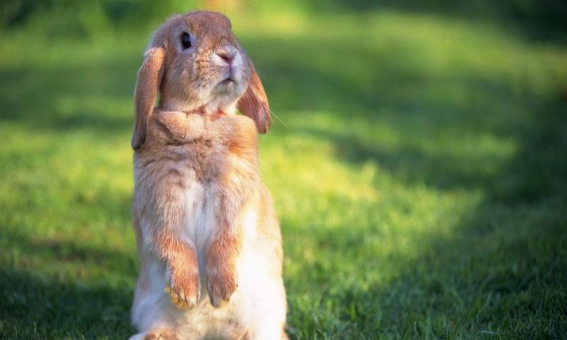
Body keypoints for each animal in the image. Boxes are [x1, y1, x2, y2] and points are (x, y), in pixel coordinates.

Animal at [129, 10, 288, 340]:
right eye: (185, 40)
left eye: (230, 30)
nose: (228, 54)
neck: (202, 119)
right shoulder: (162, 208)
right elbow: (175, 244)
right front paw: (187, 295)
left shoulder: (235, 204)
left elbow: (224, 241)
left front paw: (222, 293)